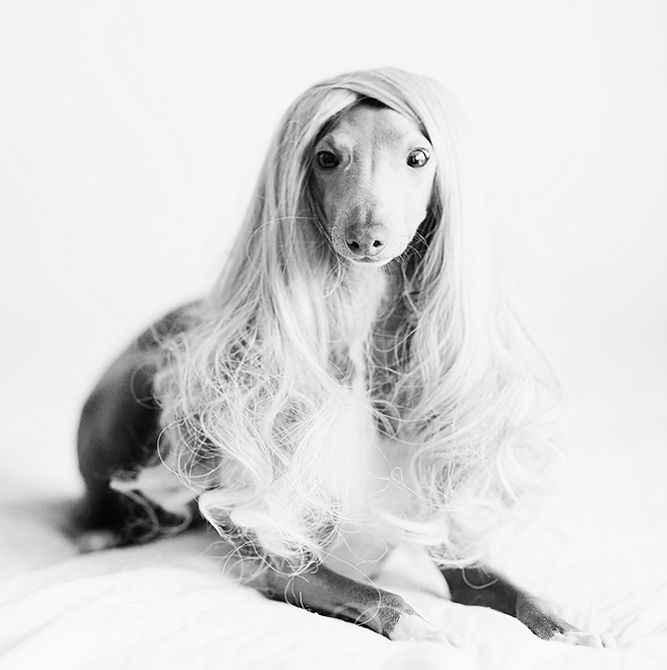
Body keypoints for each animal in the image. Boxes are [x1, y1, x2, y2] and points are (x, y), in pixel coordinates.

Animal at [75, 67, 612, 644]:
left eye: (418, 157)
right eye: (327, 157)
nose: (365, 240)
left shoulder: (444, 541)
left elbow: (510, 586)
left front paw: (564, 625)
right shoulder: (280, 562)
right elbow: (376, 593)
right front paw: (422, 629)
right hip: (141, 384)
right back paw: (108, 530)